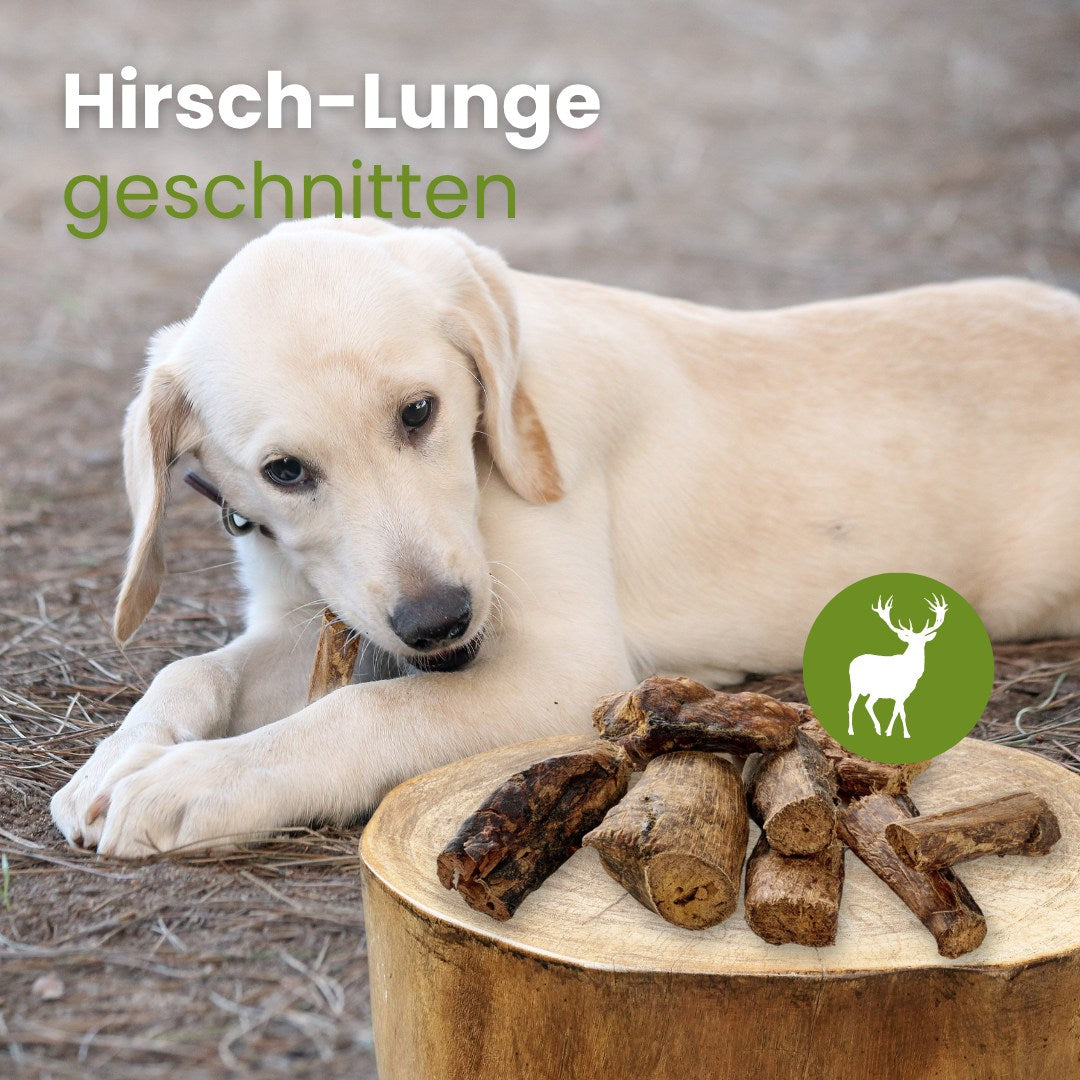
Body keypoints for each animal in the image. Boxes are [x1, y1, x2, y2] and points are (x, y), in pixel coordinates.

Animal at [846, 595, 948, 739]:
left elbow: (900, 712)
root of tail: (852, 661)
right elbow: (899, 712)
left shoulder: (903, 694)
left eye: (923, 641)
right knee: (852, 704)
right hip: (855, 686)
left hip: (875, 692)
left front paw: (900, 733)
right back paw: (852, 731)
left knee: (867, 704)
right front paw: (893, 732)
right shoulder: (899, 693)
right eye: (910, 641)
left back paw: (877, 729)